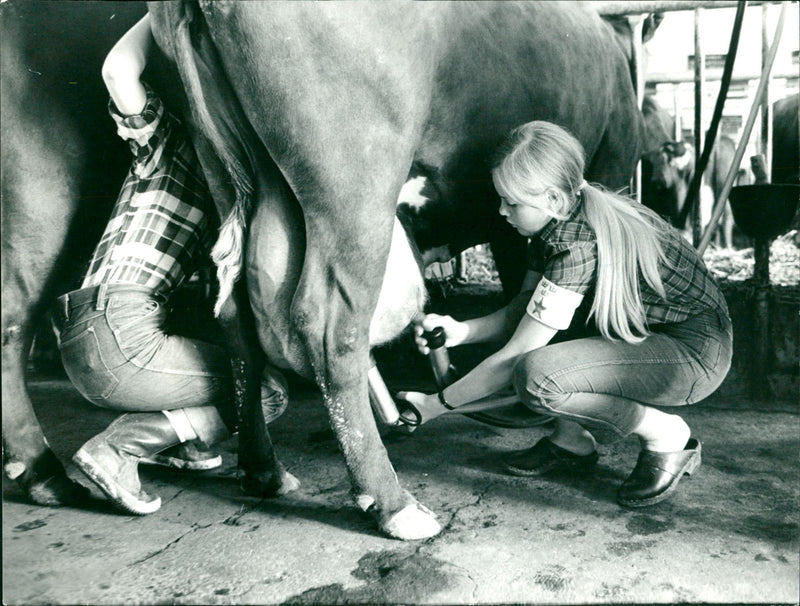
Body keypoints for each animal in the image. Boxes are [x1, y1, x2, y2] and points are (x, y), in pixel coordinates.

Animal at [145, 0, 644, 540]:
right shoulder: (608, 165)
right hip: (356, 187)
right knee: (332, 333)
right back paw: (391, 503)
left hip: (228, 173)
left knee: (237, 323)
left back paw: (264, 470)